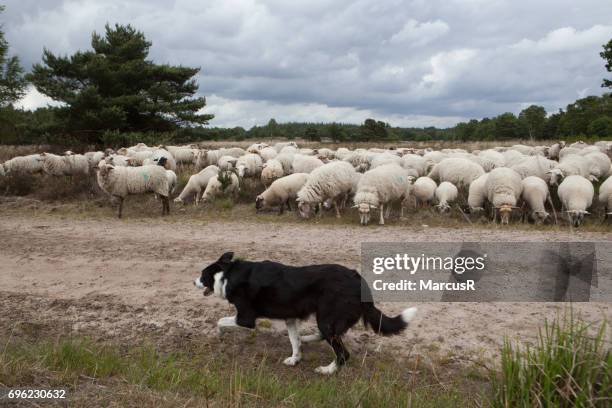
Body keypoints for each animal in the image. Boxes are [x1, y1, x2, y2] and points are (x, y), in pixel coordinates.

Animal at [194, 253, 418, 374]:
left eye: (202, 275)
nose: (193, 281)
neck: (227, 274)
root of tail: (358, 279)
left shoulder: (245, 318)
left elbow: (220, 321)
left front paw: (219, 334)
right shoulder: (290, 318)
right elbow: (293, 341)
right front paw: (295, 358)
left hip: (326, 319)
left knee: (342, 354)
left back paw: (327, 370)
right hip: (329, 320)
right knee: (325, 337)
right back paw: (307, 339)